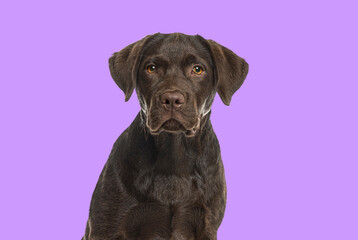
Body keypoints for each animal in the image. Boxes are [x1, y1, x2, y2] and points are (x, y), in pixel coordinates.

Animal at [82, 32, 248, 240]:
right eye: (151, 68)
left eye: (197, 69)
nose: (171, 99)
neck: (174, 154)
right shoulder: (106, 227)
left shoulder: (206, 224)